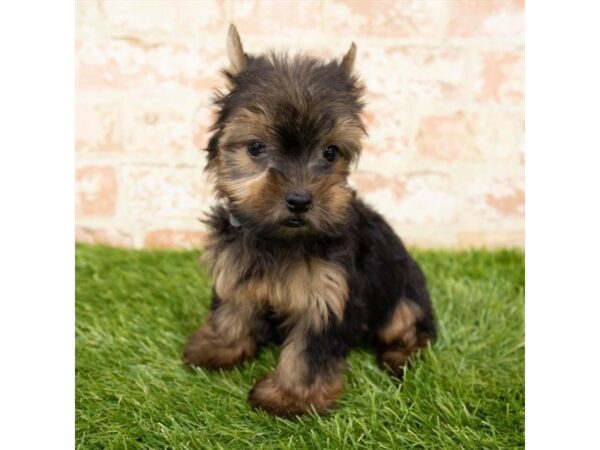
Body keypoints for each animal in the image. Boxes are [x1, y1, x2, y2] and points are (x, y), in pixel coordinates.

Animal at [184, 25, 436, 418]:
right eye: (255, 147)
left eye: (330, 152)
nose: (300, 200)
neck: (279, 239)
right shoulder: (236, 262)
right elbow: (233, 304)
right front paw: (219, 347)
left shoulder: (328, 294)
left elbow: (309, 350)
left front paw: (291, 397)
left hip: (403, 294)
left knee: (413, 328)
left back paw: (401, 355)